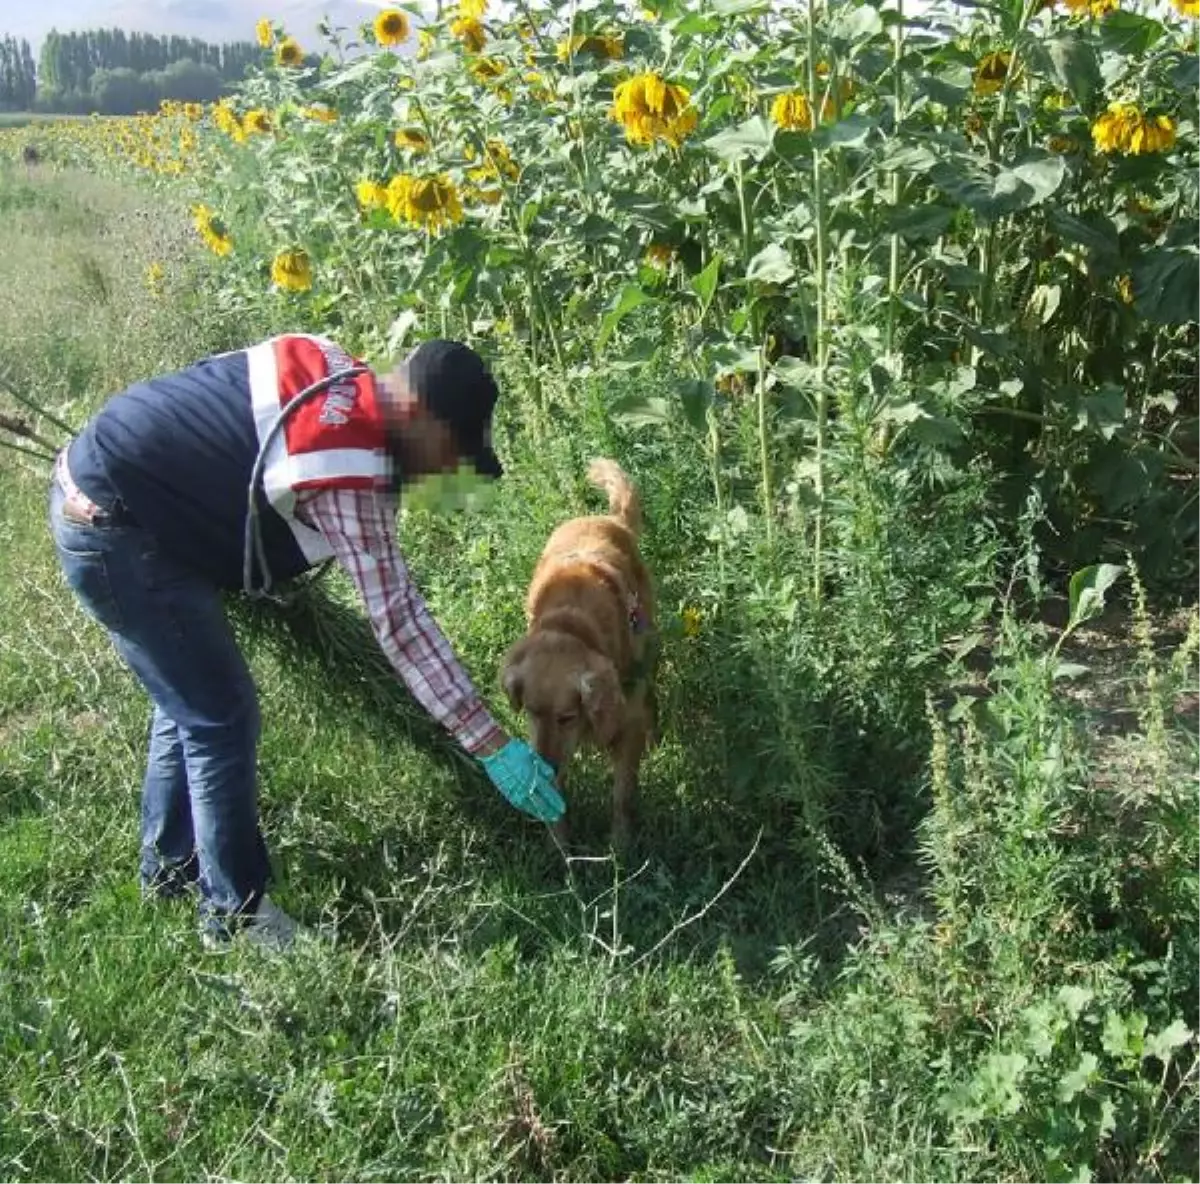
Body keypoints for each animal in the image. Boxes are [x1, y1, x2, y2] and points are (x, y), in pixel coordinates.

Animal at [501, 458, 662, 849]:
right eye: (530, 712)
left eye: (567, 717)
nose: (547, 767)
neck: (571, 626)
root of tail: (608, 518)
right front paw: (562, 847)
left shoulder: (625, 725)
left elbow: (622, 795)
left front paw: (620, 847)